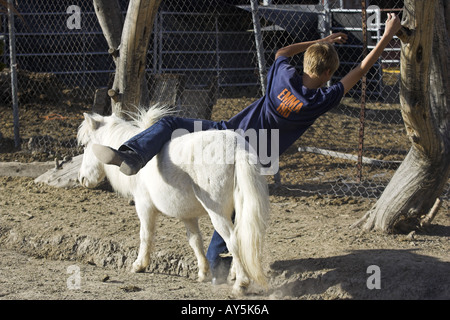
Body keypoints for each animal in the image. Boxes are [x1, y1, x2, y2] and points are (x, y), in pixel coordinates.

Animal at [76, 105, 268, 296]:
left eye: (85, 145)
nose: (82, 179)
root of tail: (236, 148)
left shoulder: (144, 206)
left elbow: (145, 235)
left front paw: (139, 265)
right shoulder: (188, 216)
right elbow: (195, 241)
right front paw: (203, 273)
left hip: (218, 214)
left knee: (233, 241)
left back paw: (241, 284)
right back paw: (234, 275)